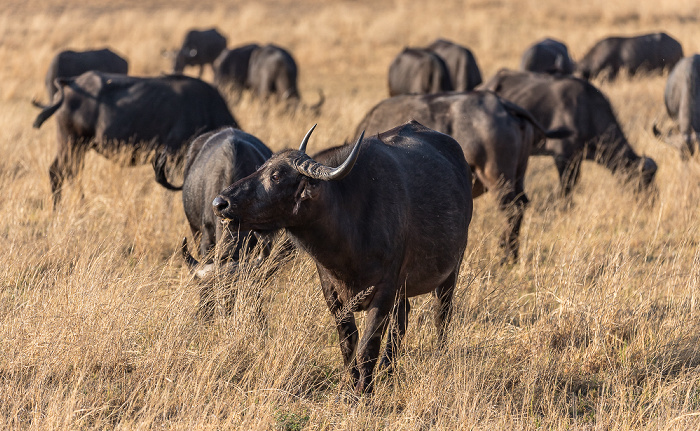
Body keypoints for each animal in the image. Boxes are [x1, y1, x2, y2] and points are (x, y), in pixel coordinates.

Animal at [32, 71, 238, 206]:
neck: (206, 109)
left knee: (68, 172)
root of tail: (69, 83)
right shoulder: (173, 157)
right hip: (71, 142)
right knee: (60, 172)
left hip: (76, 146)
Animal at [213, 121, 474, 394]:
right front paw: (350, 387)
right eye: (260, 168)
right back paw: (388, 370)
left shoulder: (383, 292)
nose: (220, 203)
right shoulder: (332, 293)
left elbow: (367, 347)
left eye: (276, 176)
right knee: (402, 319)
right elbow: (348, 344)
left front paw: (364, 392)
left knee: (441, 315)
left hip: (451, 270)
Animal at [356, 90, 568, 264]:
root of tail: (503, 104)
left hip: (497, 177)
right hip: (518, 175)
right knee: (522, 204)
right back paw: (512, 255)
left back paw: (505, 256)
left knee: (512, 209)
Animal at [484, 69, 660, 196]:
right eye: (643, 179)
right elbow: (566, 188)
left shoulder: (577, 158)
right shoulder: (562, 157)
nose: (652, 200)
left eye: (653, 178)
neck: (588, 112)